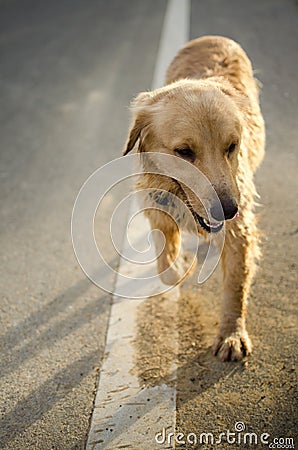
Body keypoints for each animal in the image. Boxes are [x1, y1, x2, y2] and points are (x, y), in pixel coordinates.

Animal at [122, 35, 264, 360]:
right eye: (184, 151)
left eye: (232, 146)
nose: (228, 210)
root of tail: (213, 37)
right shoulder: (156, 208)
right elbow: (165, 266)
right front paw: (181, 267)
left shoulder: (240, 230)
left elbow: (235, 286)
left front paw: (231, 335)